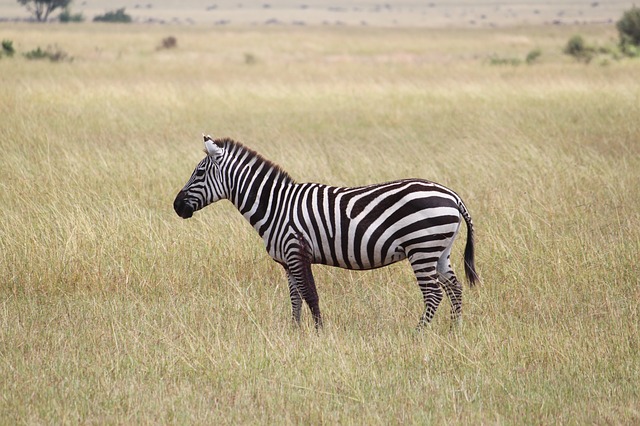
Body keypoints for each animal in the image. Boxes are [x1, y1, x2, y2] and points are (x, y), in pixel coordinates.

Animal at [173, 135, 479, 329]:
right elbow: (295, 298)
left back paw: (418, 334)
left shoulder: (297, 251)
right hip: (440, 249)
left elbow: (310, 295)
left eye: (199, 173)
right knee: (454, 287)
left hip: (422, 247)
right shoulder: (287, 262)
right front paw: (295, 332)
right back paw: (455, 329)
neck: (276, 206)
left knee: (434, 293)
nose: (176, 207)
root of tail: (452, 195)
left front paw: (319, 334)